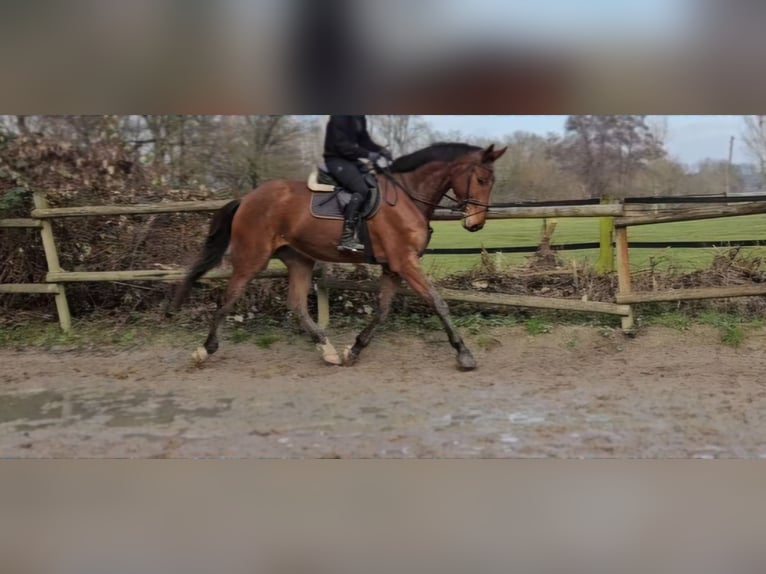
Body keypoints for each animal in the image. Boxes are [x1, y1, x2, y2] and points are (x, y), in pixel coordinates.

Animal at [166, 142, 507, 370]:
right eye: (481, 179)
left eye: (493, 181)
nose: (476, 224)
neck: (407, 195)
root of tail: (248, 198)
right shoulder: (406, 263)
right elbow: (438, 303)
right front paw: (464, 354)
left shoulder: (393, 267)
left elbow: (382, 311)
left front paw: (354, 350)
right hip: (252, 258)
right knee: (227, 300)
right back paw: (204, 350)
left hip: (299, 259)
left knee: (297, 305)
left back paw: (328, 350)